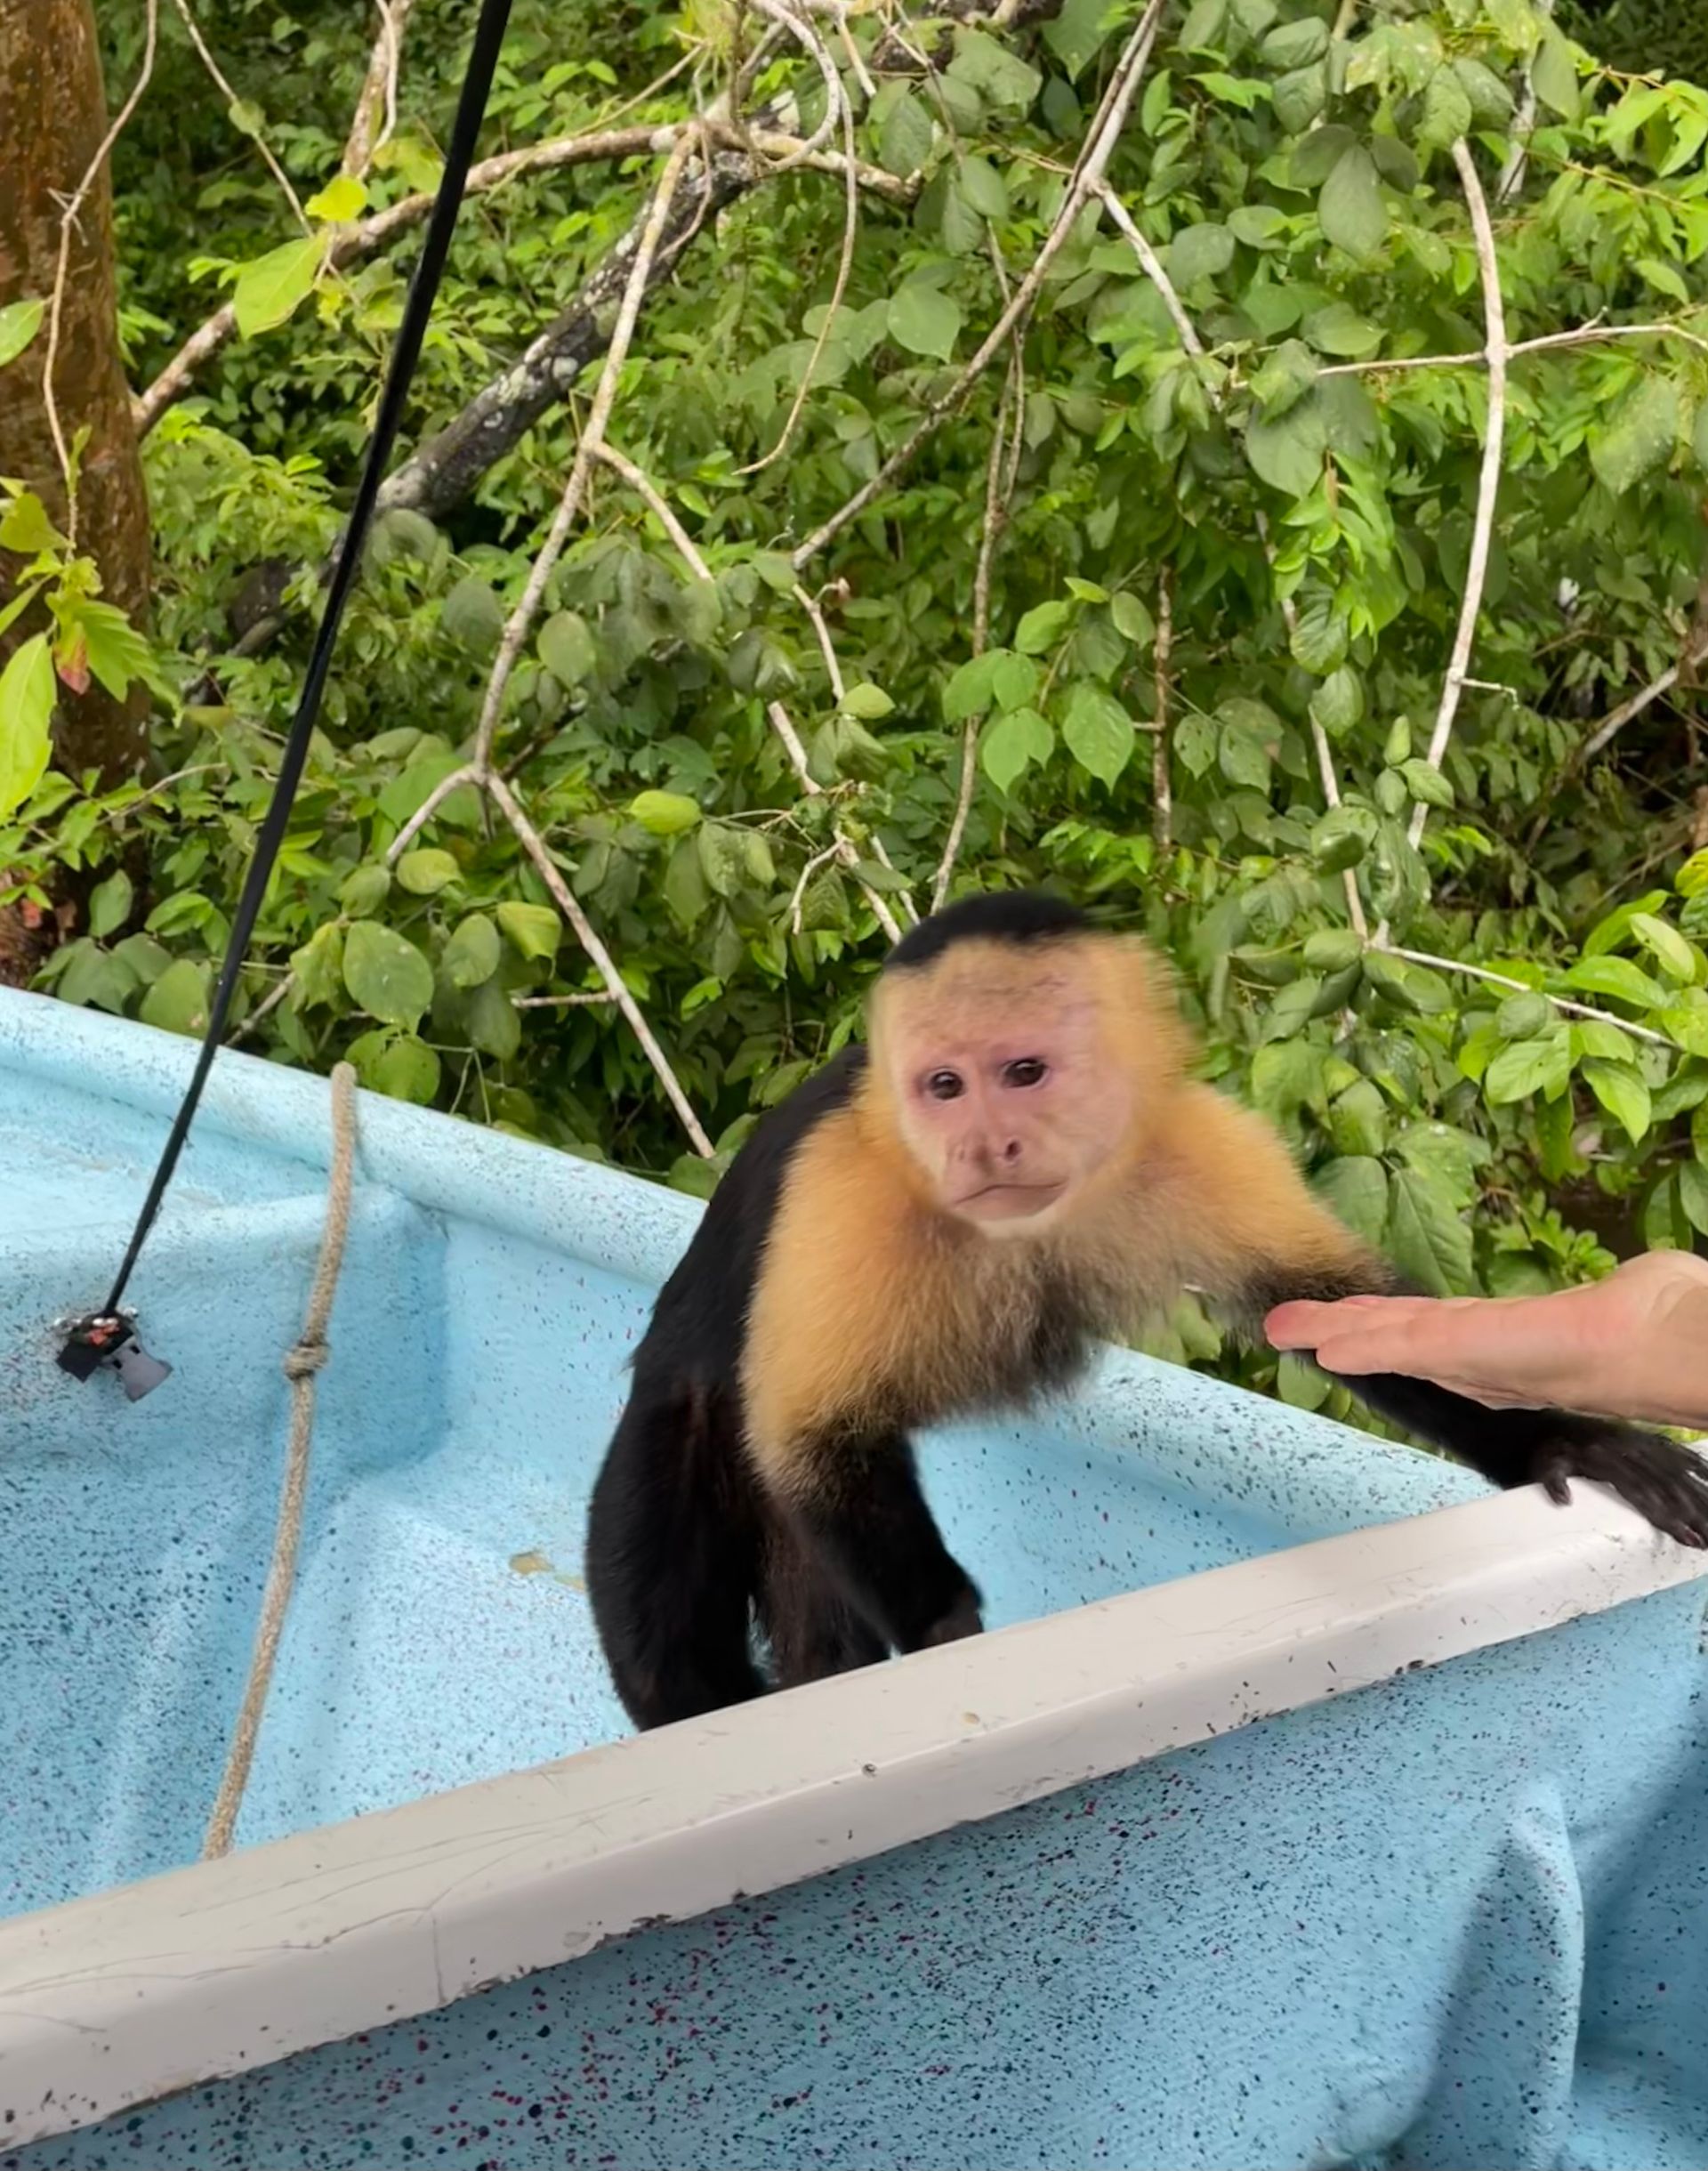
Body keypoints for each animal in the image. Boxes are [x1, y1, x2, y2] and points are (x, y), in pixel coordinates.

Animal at [584, 890, 1708, 1732]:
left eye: (1023, 1071)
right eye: (943, 1085)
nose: (982, 1145)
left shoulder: (1194, 1138)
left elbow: (1336, 1315)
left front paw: (1560, 1440)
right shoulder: (844, 1186)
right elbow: (814, 1433)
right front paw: (949, 1640)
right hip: (670, 1434)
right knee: (676, 1654)